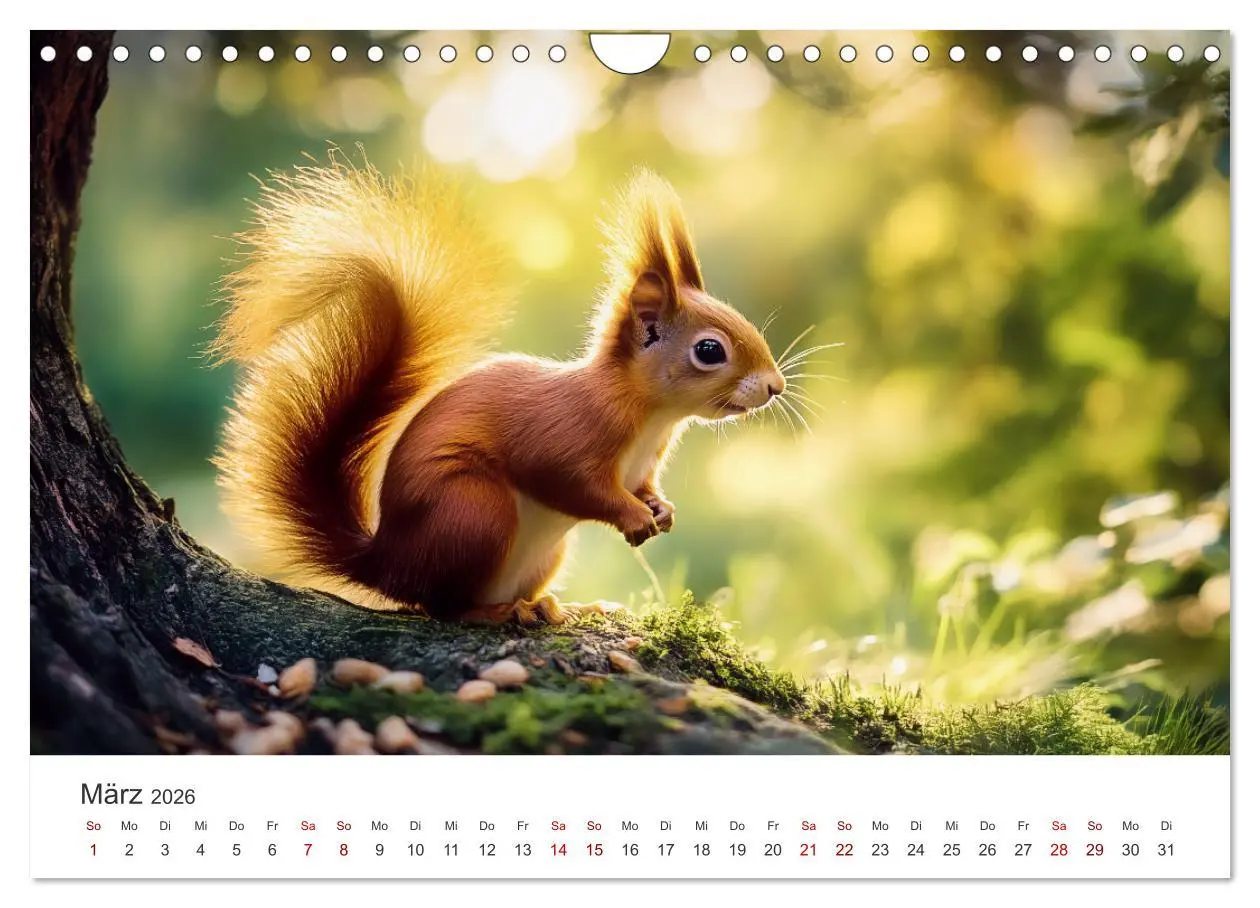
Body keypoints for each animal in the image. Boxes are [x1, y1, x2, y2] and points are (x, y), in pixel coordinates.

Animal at [213, 158, 786, 625]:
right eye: (709, 350)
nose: (775, 387)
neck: (649, 414)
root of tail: (387, 563)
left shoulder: (642, 465)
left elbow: (643, 486)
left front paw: (661, 510)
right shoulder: (566, 434)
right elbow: (571, 482)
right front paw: (634, 517)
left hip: (541, 551)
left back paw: (561, 606)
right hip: (474, 512)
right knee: (441, 606)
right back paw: (498, 613)